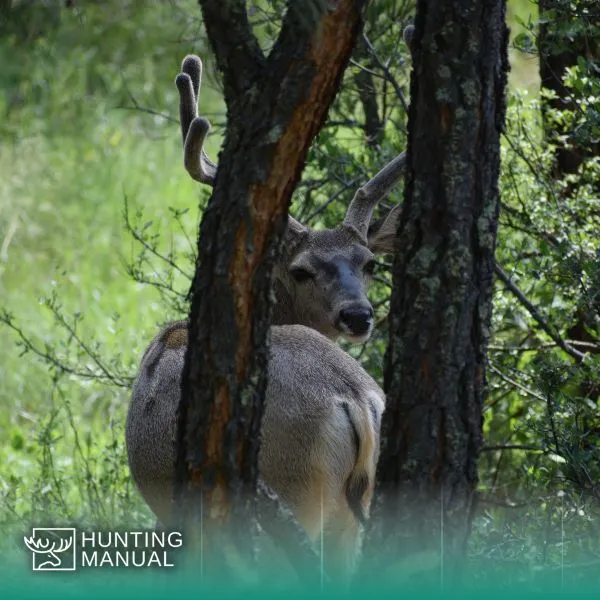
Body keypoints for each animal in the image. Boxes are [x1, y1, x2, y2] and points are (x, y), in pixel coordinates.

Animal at [126, 51, 408, 584]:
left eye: (369, 263)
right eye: (301, 270)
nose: (358, 315)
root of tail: (354, 397)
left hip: (292, 485)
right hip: (353, 506)